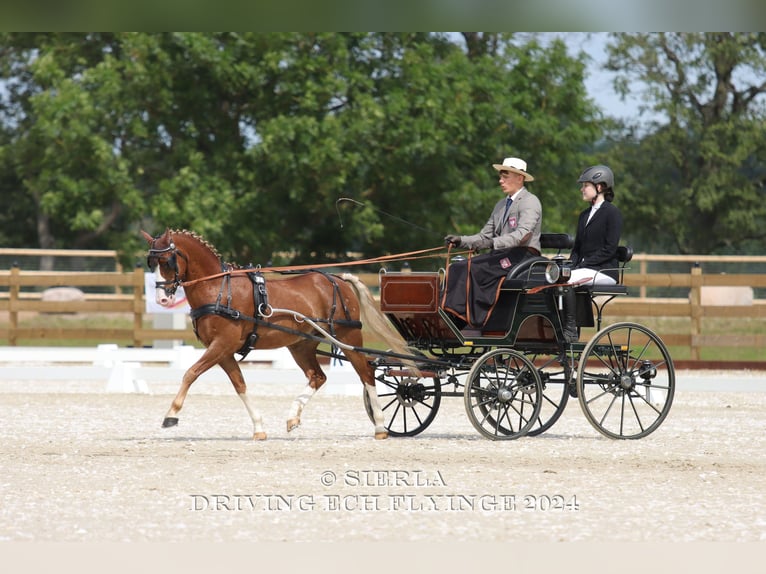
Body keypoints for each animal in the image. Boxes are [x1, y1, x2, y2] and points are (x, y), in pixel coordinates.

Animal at [144, 228, 408, 440]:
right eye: (150, 263)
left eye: (167, 261)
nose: (162, 299)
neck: (218, 290)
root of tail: (338, 278)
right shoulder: (223, 351)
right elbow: (239, 385)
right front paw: (259, 428)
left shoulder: (222, 344)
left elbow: (190, 373)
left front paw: (171, 415)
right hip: (301, 345)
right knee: (318, 376)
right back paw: (293, 417)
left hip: (347, 339)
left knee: (366, 374)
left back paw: (380, 427)